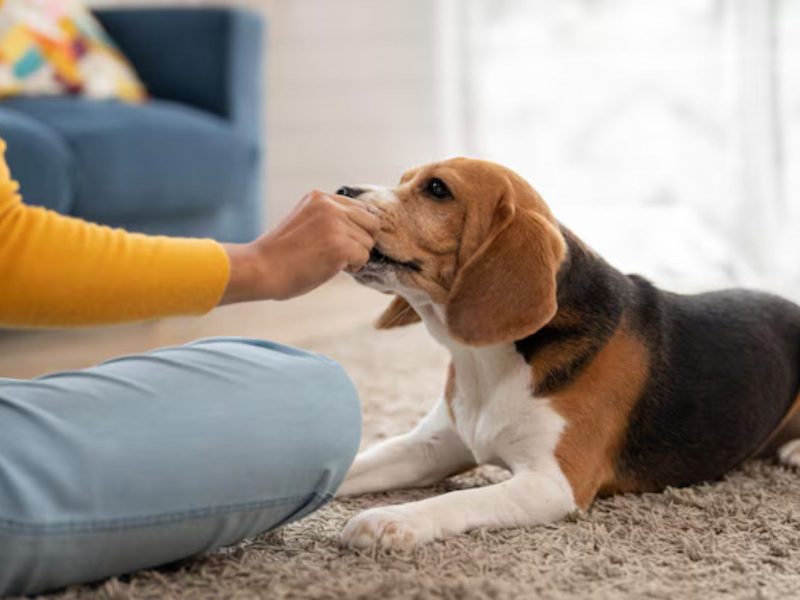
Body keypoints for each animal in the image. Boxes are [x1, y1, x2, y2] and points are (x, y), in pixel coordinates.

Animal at [332, 157, 800, 552]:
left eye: (436, 189)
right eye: (403, 179)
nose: (342, 191)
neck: (485, 361)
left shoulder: (553, 485)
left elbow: (459, 502)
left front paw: (391, 518)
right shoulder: (427, 448)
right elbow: (353, 464)